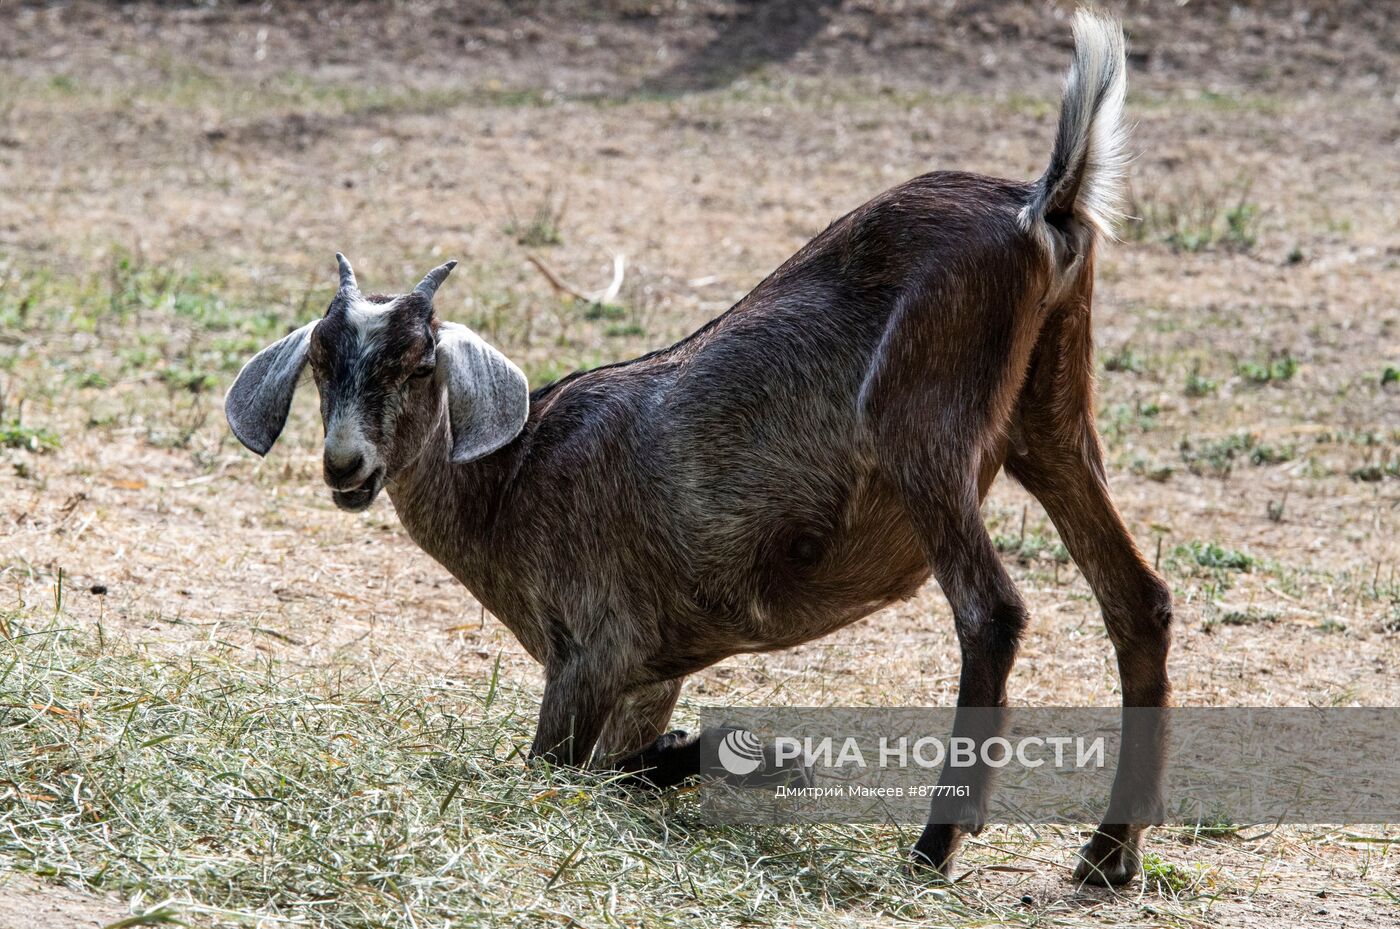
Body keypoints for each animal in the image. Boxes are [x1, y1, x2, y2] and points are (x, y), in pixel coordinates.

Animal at [229, 12, 1170, 884]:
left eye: (419, 361)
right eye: (321, 360)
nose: (345, 466)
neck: (512, 481)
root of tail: (1042, 205)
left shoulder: (591, 651)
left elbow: (557, 767)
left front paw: (756, 755)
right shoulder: (650, 672)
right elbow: (620, 768)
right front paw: (742, 754)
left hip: (923, 425)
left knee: (992, 612)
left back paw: (935, 847)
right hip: (1050, 417)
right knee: (1139, 599)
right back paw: (1107, 854)